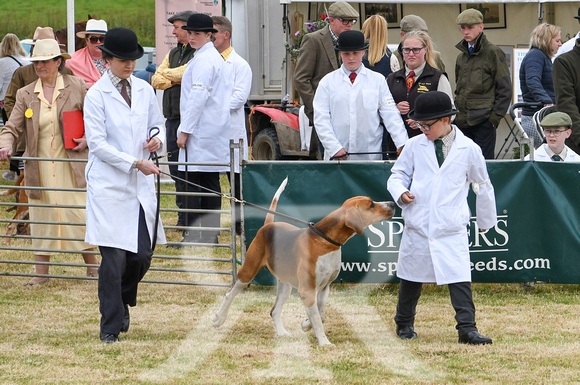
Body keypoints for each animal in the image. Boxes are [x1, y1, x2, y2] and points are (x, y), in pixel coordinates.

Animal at [213, 177, 394, 344]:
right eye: (371, 204)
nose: (392, 203)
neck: (326, 242)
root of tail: (268, 225)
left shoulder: (324, 287)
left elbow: (320, 315)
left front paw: (307, 324)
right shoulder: (307, 290)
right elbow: (318, 320)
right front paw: (324, 342)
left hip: (285, 285)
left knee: (274, 311)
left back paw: (281, 332)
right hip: (248, 270)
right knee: (230, 293)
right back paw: (219, 318)